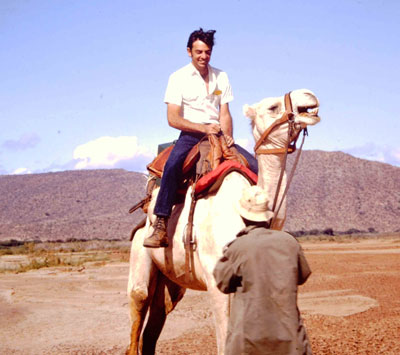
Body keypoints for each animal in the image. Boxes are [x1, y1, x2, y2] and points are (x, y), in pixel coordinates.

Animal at [126, 89, 320, 355]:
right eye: (272, 107)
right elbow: (223, 340)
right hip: (140, 254)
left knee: (154, 323)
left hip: (171, 282)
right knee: (139, 301)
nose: (309, 96)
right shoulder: (215, 278)